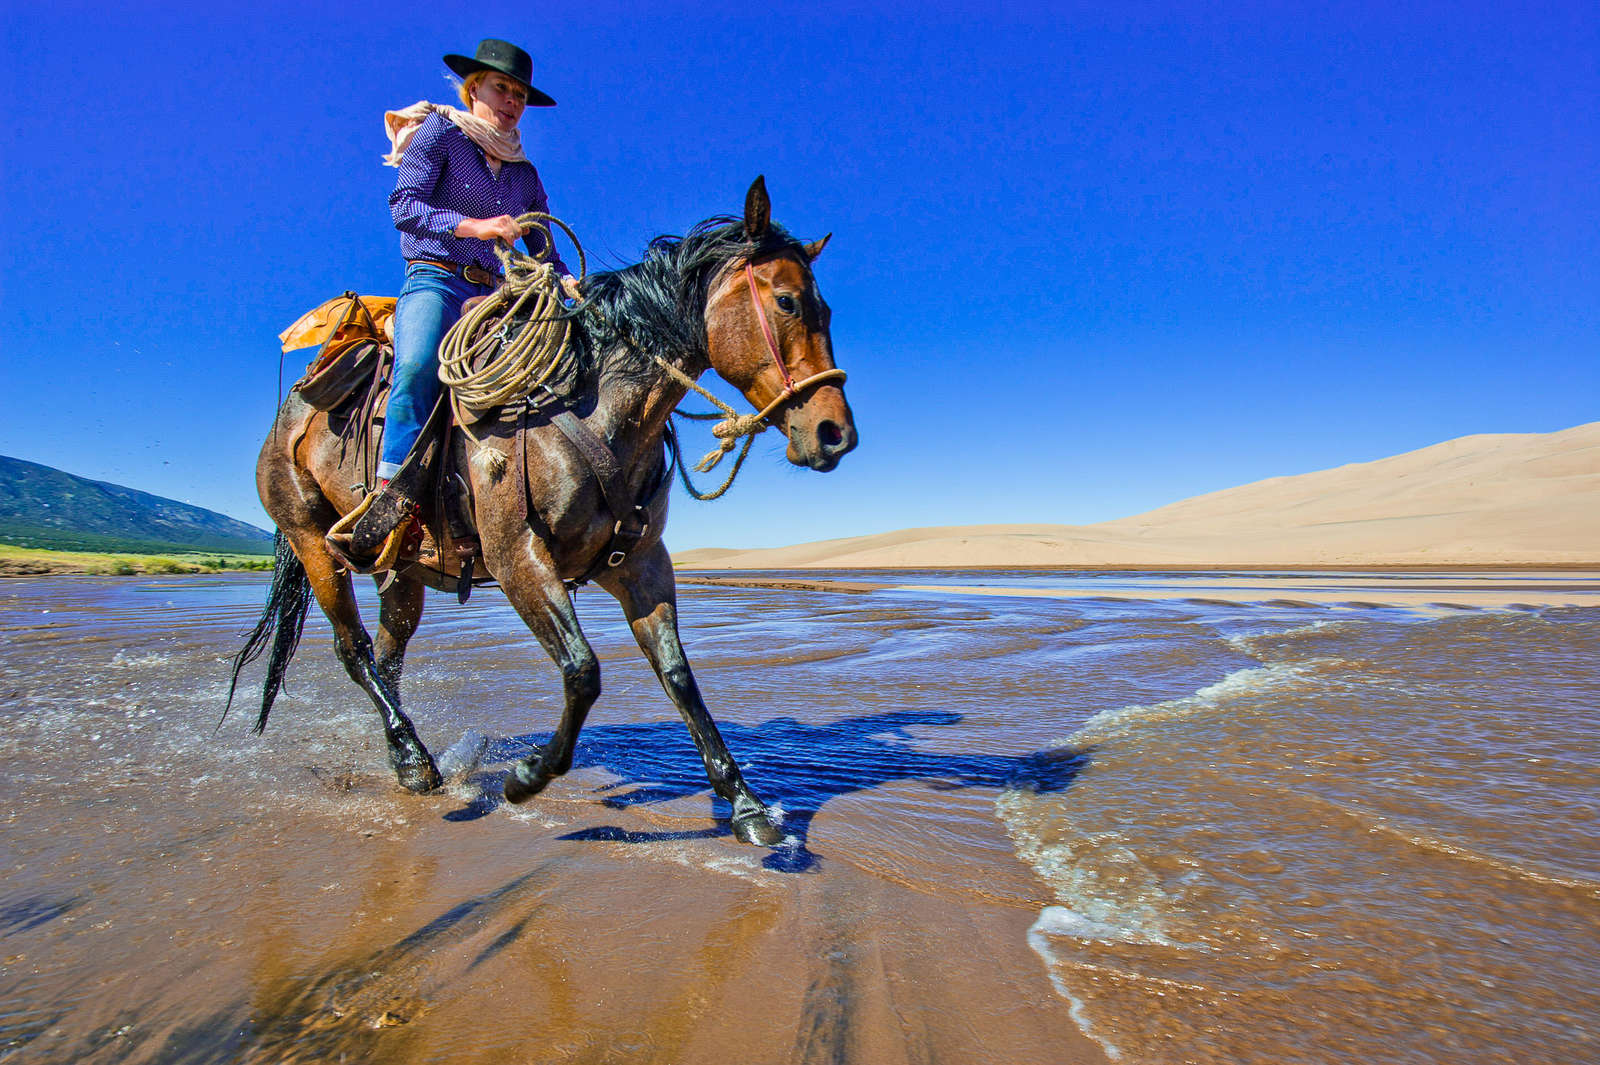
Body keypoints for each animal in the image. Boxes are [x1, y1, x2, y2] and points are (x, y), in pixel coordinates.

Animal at [229, 178, 856, 847]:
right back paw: (415, 760)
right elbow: (582, 670)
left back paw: (404, 756)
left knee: (388, 656)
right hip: (313, 544)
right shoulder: (517, 558)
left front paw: (745, 805)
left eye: (826, 311)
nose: (836, 434)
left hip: (402, 570)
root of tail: (292, 410)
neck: (590, 407)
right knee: (354, 650)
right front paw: (527, 777)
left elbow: (678, 676)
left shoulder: (639, 562)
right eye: (787, 301)